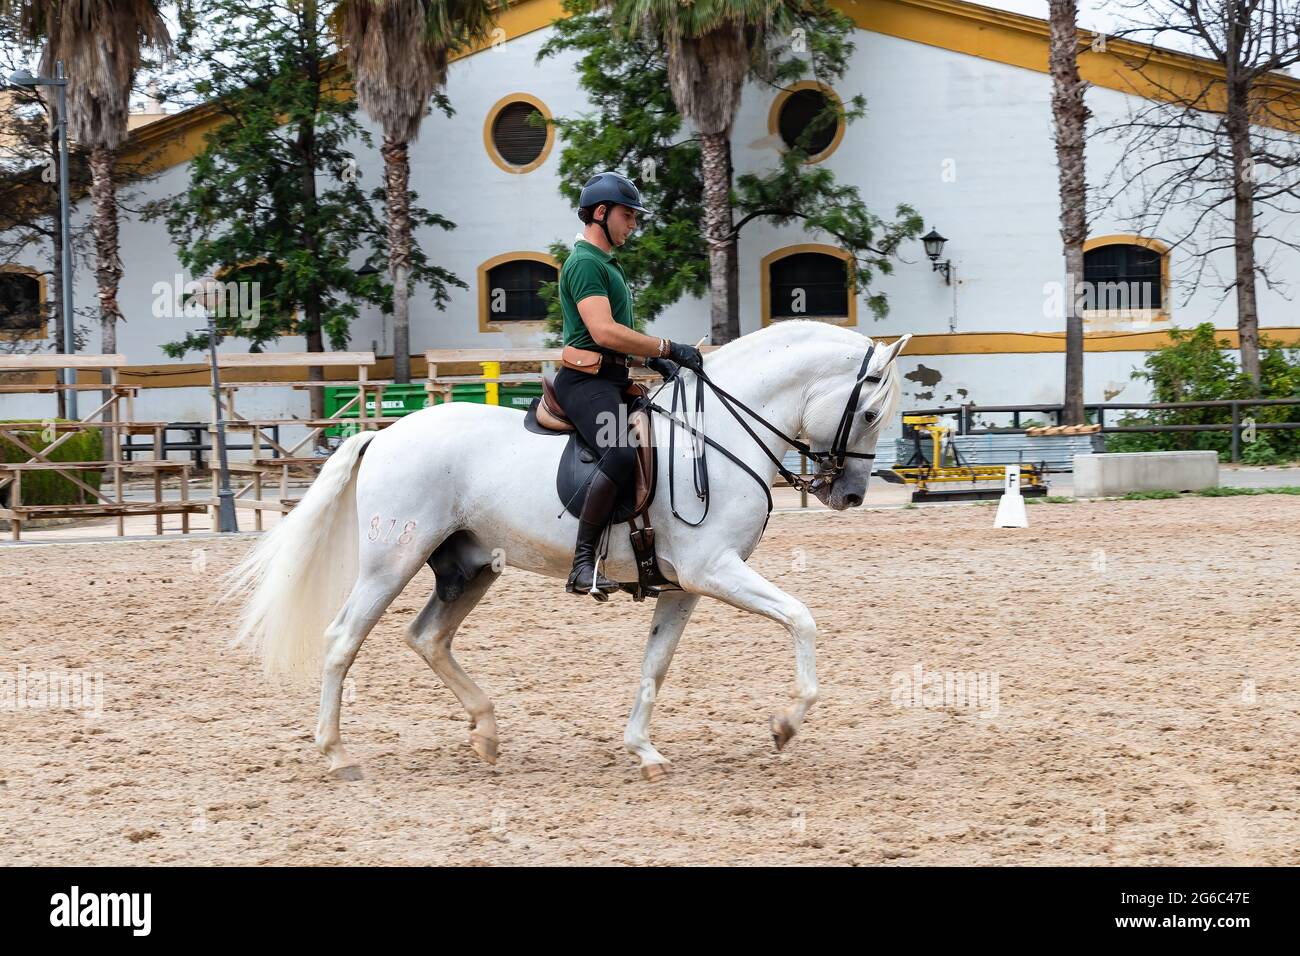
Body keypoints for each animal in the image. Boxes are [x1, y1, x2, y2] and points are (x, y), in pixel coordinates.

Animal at [226, 321, 904, 780]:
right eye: (872, 413)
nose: (850, 494)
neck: (715, 433)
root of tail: (386, 433)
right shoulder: (715, 570)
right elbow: (801, 618)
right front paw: (786, 724)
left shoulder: (685, 586)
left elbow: (656, 664)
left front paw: (644, 750)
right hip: (392, 560)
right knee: (344, 639)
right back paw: (338, 754)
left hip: (470, 566)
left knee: (428, 637)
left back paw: (486, 733)